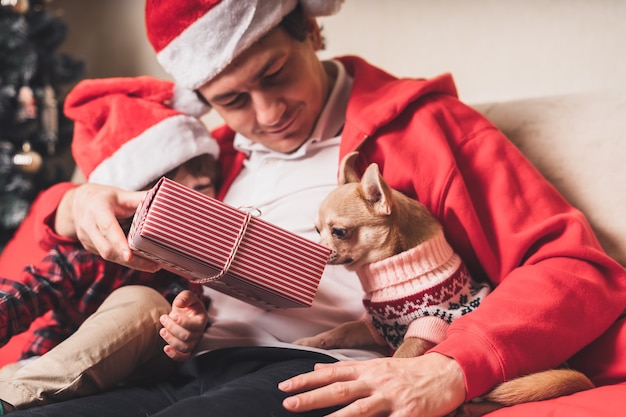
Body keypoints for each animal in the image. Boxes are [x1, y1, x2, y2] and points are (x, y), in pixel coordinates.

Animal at [294, 152, 592, 416]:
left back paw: (469, 408)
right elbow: (342, 330)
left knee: (502, 400)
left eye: (339, 232)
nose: (318, 250)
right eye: (317, 230)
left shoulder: (426, 327)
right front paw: (312, 340)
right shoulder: (376, 326)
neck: (394, 269)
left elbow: (400, 357)